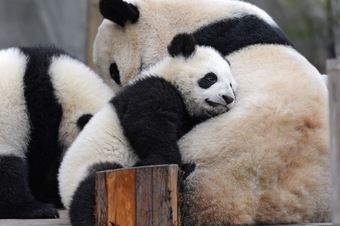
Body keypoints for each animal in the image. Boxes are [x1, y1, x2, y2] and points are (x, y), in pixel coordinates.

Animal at [58, 32, 238, 226]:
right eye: (211, 78)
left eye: (231, 85)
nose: (228, 98)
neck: (172, 77)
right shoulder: (152, 90)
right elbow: (147, 125)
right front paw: (174, 162)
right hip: (91, 170)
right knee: (87, 195)